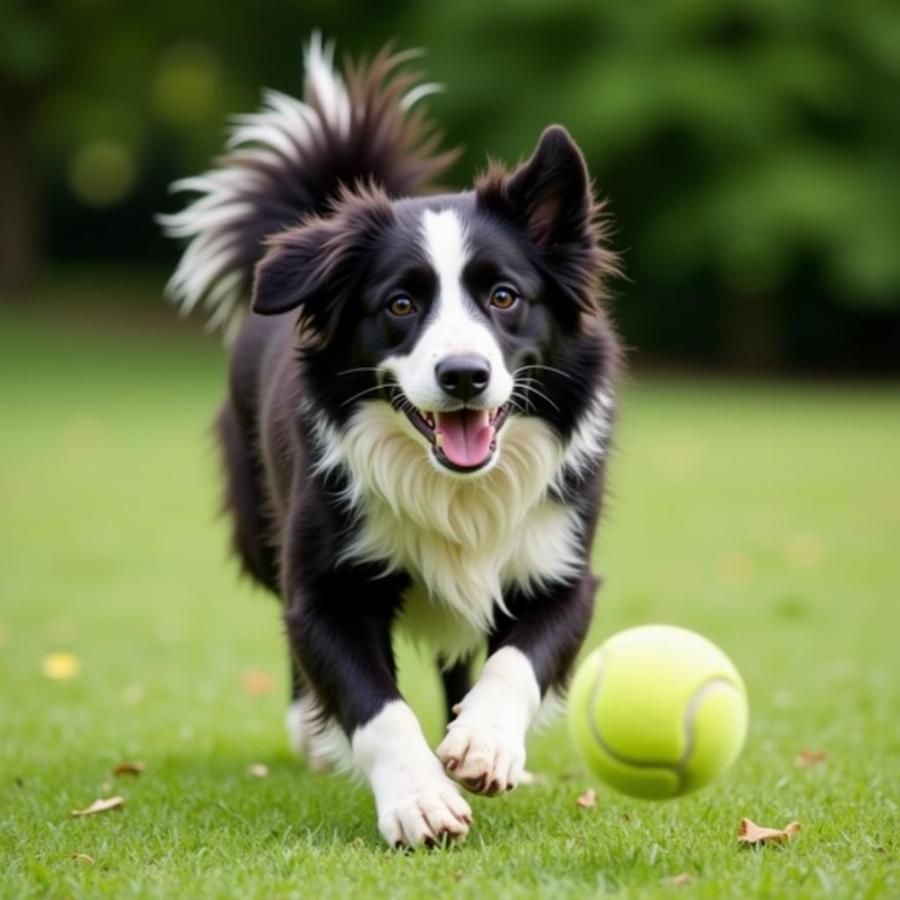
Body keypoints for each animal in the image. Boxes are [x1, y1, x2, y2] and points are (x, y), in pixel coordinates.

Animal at [160, 35, 620, 848]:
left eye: (505, 296)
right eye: (400, 305)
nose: (464, 375)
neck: (456, 487)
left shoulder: (562, 566)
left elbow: (518, 659)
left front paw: (484, 742)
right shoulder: (326, 584)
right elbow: (373, 705)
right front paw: (418, 797)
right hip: (260, 521)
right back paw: (314, 736)